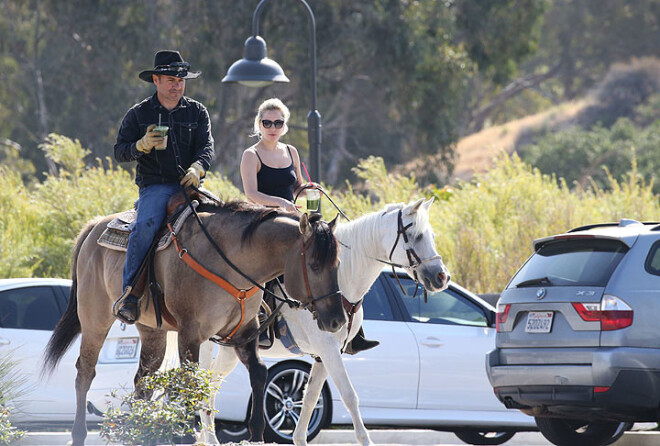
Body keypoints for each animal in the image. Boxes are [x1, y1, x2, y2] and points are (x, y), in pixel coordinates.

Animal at [42, 200, 346, 444]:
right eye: (314, 266)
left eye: (338, 264)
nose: (337, 320)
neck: (232, 260)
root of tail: (95, 226)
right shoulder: (191, 333)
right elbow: (191, 380)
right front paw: (187, 434)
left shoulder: (244, 332)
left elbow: (259, 373)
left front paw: (256, 433)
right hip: (94, 318)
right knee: (85, 373)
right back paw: (79, 434)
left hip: (152, 331)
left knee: (143, 381)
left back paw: (139, 432)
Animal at [168, 199, 452, 446]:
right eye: (416, 236)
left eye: (431, 236)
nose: (442, 277)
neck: (342, 278)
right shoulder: (328, 350)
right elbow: (349, 395)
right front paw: (365, 440)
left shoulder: (325, 354)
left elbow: (310, 397)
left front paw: (299, 438)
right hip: (209, 343)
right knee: (204, 384)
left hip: (231, 348)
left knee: (212, 385)